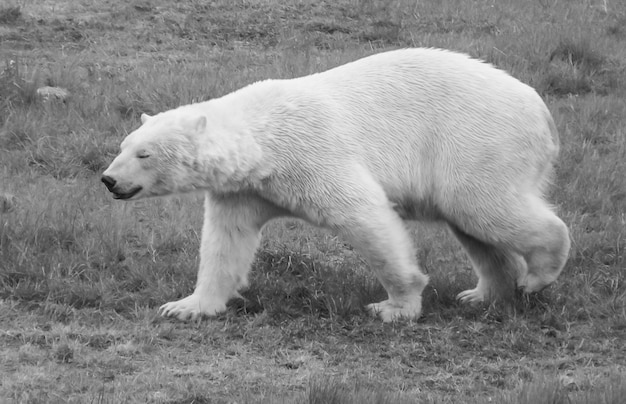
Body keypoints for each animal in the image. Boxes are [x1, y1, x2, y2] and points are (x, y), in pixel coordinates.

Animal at [100, 47, 568, 322]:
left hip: (476, 141)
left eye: (144, 154)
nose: (108, 180)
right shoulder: (245, 189)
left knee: (483, 207)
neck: (262, 142)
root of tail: (542, 110)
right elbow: (226, 242)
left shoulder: (312, 154)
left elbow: (365, 216)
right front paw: (185, 306)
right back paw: (483, 294)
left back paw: (537, 275)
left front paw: (394, 305)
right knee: (474, 226)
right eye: (123, 146)